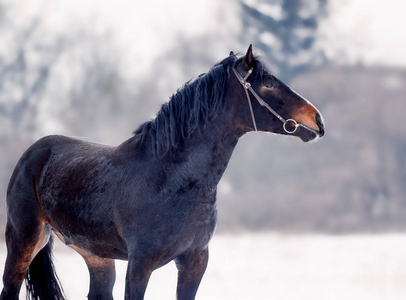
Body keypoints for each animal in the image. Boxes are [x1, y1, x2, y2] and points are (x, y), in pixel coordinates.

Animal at [0, 45, 324, 300]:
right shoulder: (140, 264)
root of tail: (35, 150)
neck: (170, 179)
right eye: (267, 85)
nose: (317, 120)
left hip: (97, 256)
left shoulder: (195, 261)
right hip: (24, 240)